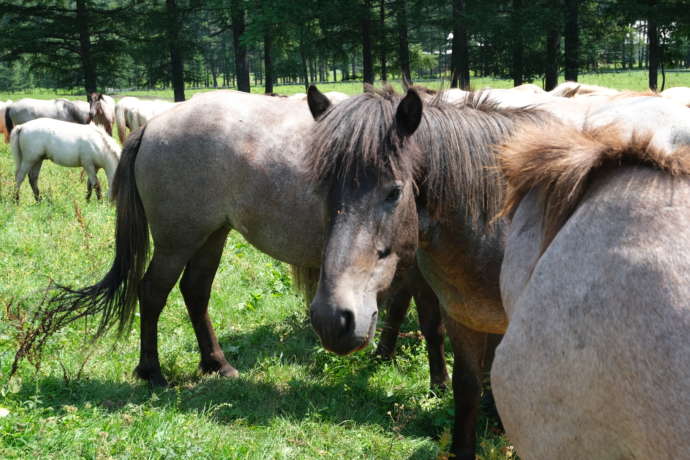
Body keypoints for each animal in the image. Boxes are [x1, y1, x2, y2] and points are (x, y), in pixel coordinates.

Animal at [36, 91, 446, 390]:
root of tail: (152, 127)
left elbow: (397, 309)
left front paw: (384, 356)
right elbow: (430, 321)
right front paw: (438, 383)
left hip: (210, 236)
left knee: (195, 291)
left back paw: (216, 363)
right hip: (176, 242)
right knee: (152, 292)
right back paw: (152, 371)